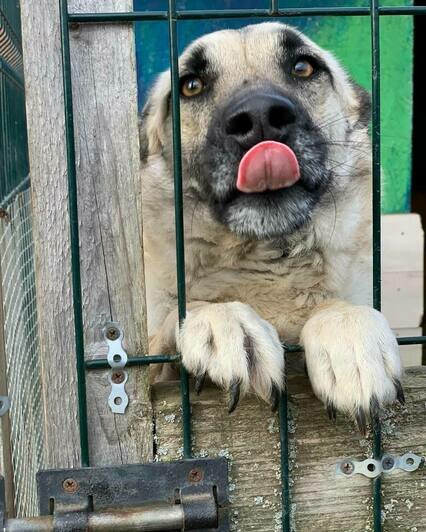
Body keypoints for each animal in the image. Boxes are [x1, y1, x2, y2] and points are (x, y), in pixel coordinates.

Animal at [139, 22, 402, 434]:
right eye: (192, 85)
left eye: (303, 68)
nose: (259, 115)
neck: (268, 258)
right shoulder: (151, 382)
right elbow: (180, 315)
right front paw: (222, 318)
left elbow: (336, 307)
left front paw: (347, 329)